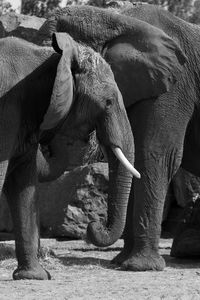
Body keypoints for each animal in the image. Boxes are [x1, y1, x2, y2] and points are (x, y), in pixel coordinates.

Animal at [35, 0, 200, 272]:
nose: (94, 225)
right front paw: (121, 262)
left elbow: (153, 155)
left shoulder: (173, 86)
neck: (116, 20)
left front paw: (140, 267)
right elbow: (132, 158)